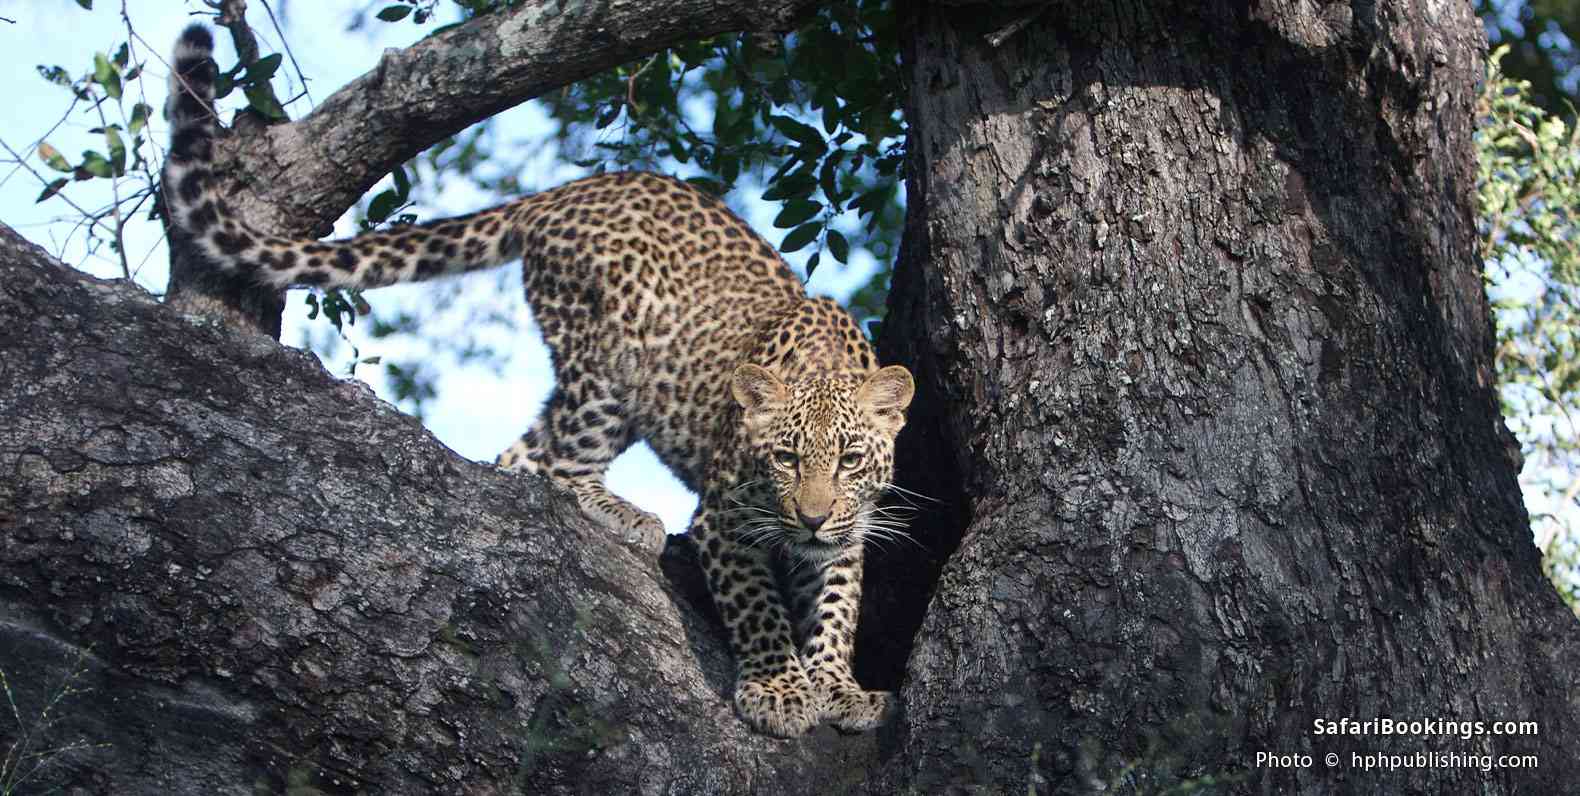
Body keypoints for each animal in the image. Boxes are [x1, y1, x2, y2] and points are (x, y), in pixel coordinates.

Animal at [162, 24, 913, 737]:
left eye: (850, 460)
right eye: (784, 458)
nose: (809, 517)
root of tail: (567, 192)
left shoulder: (847, 531)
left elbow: (838, 603)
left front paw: (839, 687)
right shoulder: (723, 520)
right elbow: (758, 605)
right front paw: (779, 689)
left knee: (520, 456)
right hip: (606, 364)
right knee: (562, 465)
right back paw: (626, 514)